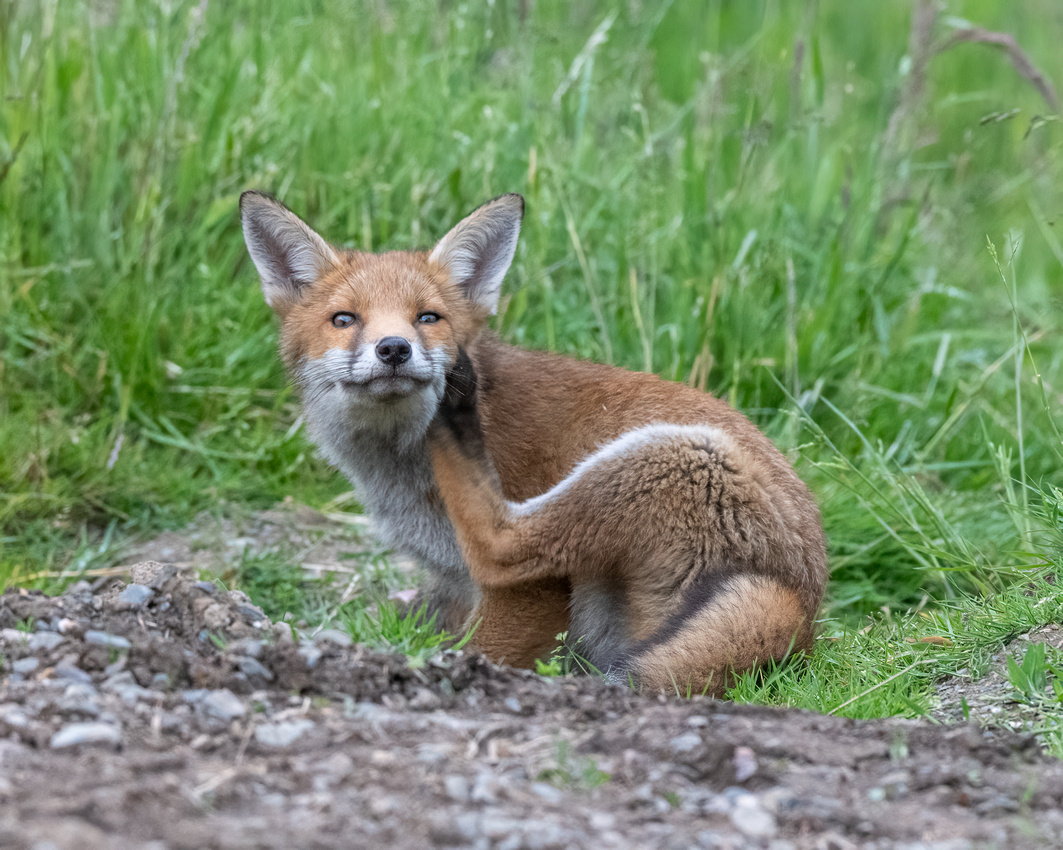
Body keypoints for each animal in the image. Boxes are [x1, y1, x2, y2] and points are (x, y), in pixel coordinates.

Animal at [243, 194, 829, 697]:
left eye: (428, 317)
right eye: (344, 319)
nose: (394, 349)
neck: (397, 467)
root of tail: (801, 605)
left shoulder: (533, 597)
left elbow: (486, 646)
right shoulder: (455, 584)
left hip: (667, 456)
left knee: (500, 542)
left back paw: (456, 418)